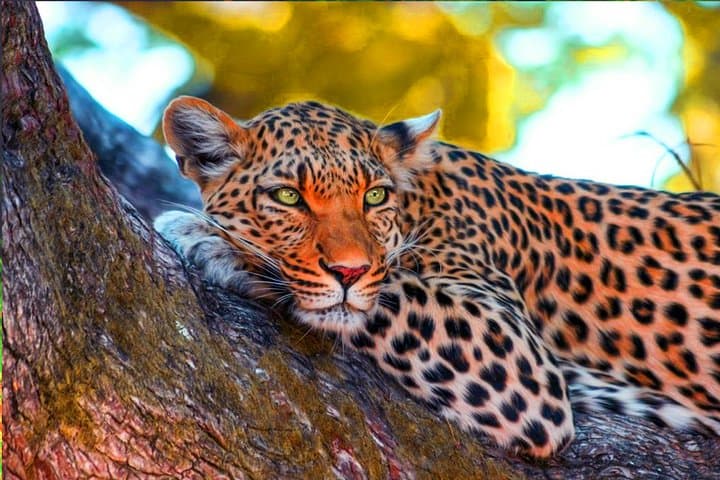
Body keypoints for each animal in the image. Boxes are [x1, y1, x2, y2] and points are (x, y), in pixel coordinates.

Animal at [154, 96, 720, 458]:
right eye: (289, 197)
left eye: (374, 196)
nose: (349, 270)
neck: (421, 202)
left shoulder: (516, 356)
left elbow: (389, 291)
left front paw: (209, 238)